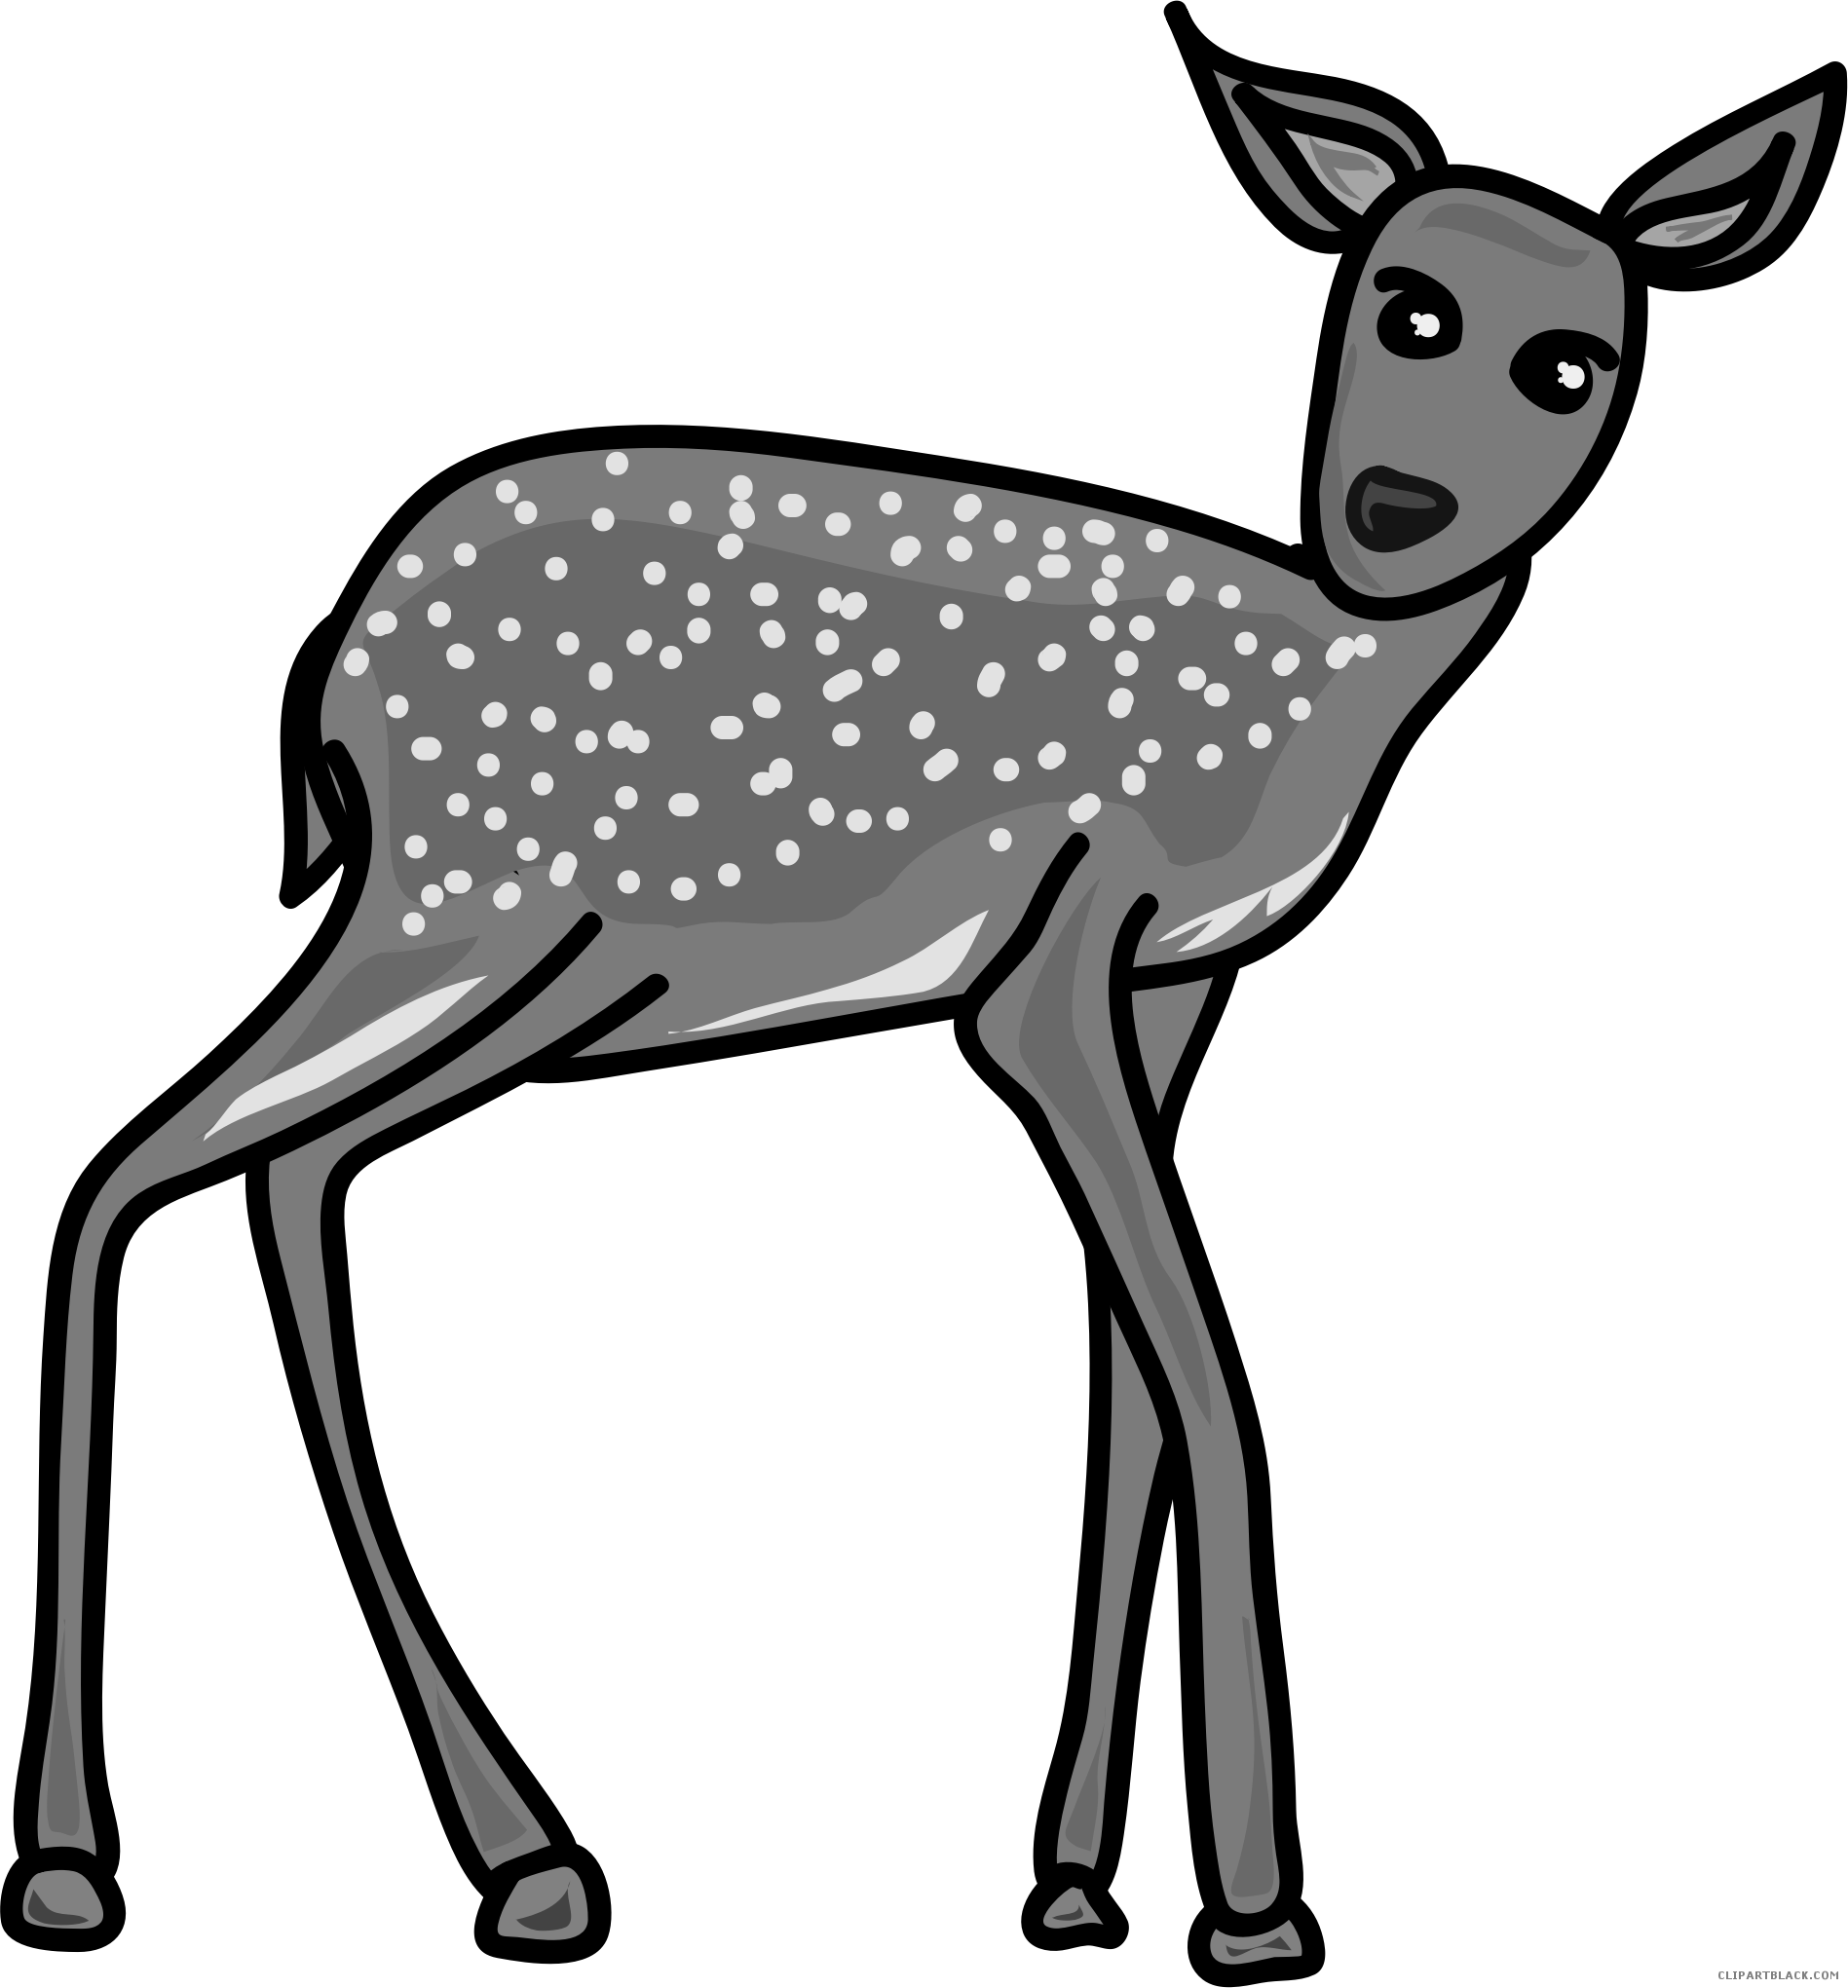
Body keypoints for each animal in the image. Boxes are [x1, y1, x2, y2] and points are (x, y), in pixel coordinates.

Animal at [24, 73, 1821, 1959]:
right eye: (1399, 304)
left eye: (1574, 362)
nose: (1395, 507)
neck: (1320, 685)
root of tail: (344, 669)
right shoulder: (1052, 973)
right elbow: (1208, 1382)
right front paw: (1253, 1901)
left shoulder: (1177, 982)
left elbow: (1129, 1392)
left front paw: (1078, 1878)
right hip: (466, 894)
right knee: (131, 1178)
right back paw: (78, 1861)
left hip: (576, 964)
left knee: (286, 1174)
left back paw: (521, 1851)